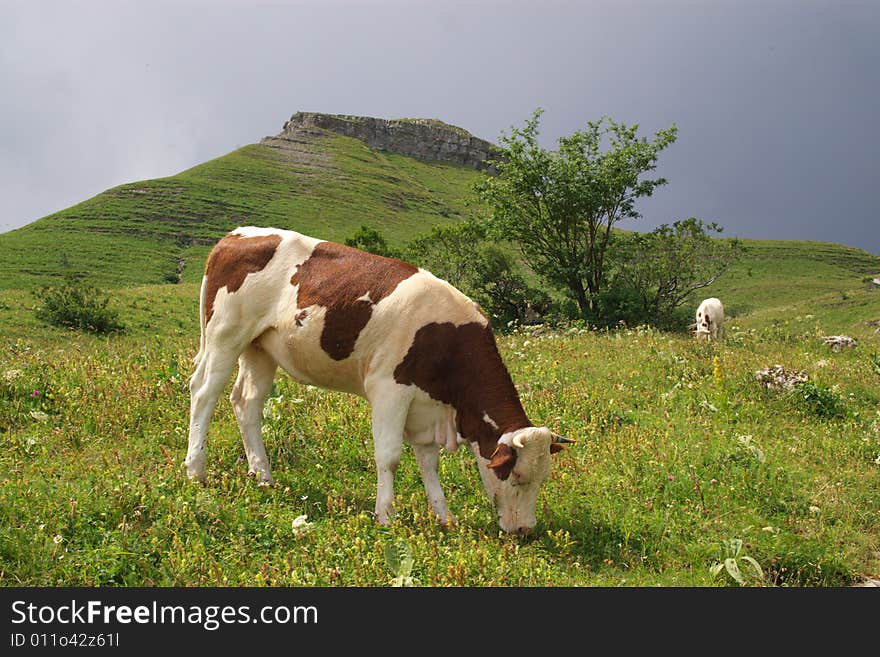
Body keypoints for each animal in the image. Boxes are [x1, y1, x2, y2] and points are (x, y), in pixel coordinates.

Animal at [185, 226, 572, 532]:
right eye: (517, 476)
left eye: (544, 477)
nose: (525, 530)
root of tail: (238, 234)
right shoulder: (389, 390)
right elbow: (389, 457)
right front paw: (386, 516)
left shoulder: (427, 406)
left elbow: (429, 464)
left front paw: (444, 517)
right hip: (226, 334)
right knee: (204, 393)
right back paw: (195, 472)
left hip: (260, 349)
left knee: (246, 403)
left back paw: (262, 475)